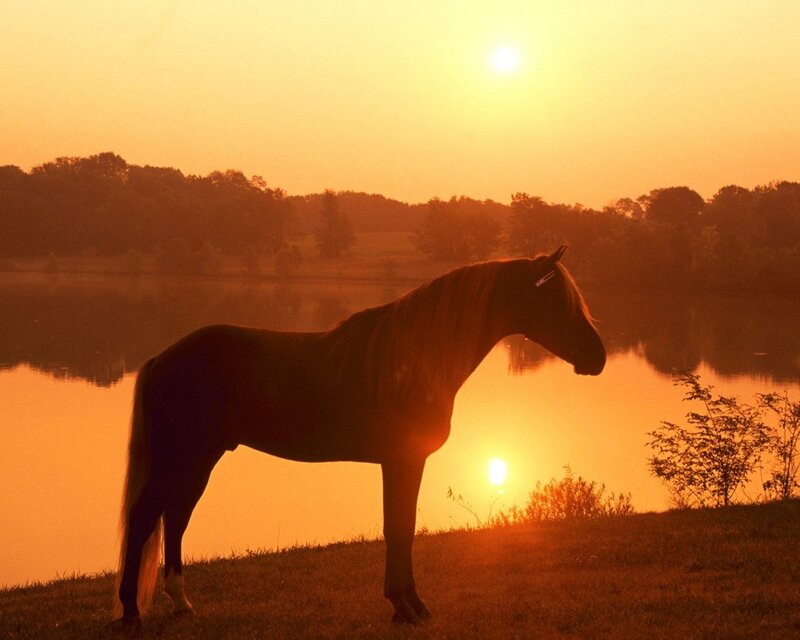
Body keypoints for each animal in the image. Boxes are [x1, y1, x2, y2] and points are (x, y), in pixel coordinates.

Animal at [114, 246, 606, 627]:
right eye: (558, 300)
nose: (597, 356)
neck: (415, 356)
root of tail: (163, 357)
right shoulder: (404, 460)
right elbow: (399, 528)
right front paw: (407, 607)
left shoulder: (402, 461)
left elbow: (400, 528)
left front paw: (407, 606)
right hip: (181, 458)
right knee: (145, 518)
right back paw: (131, 612)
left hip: (199, 460)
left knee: (175, 519)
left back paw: (181, 604)